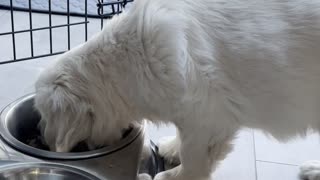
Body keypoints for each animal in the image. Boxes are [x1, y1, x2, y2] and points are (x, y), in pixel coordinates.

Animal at [34, 0, 320, 180]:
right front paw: (171, 148)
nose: (43, 139)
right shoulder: (206, 117)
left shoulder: (205, 116)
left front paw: (174, 176)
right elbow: (188, 141)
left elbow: (193, 156)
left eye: (44, 115)